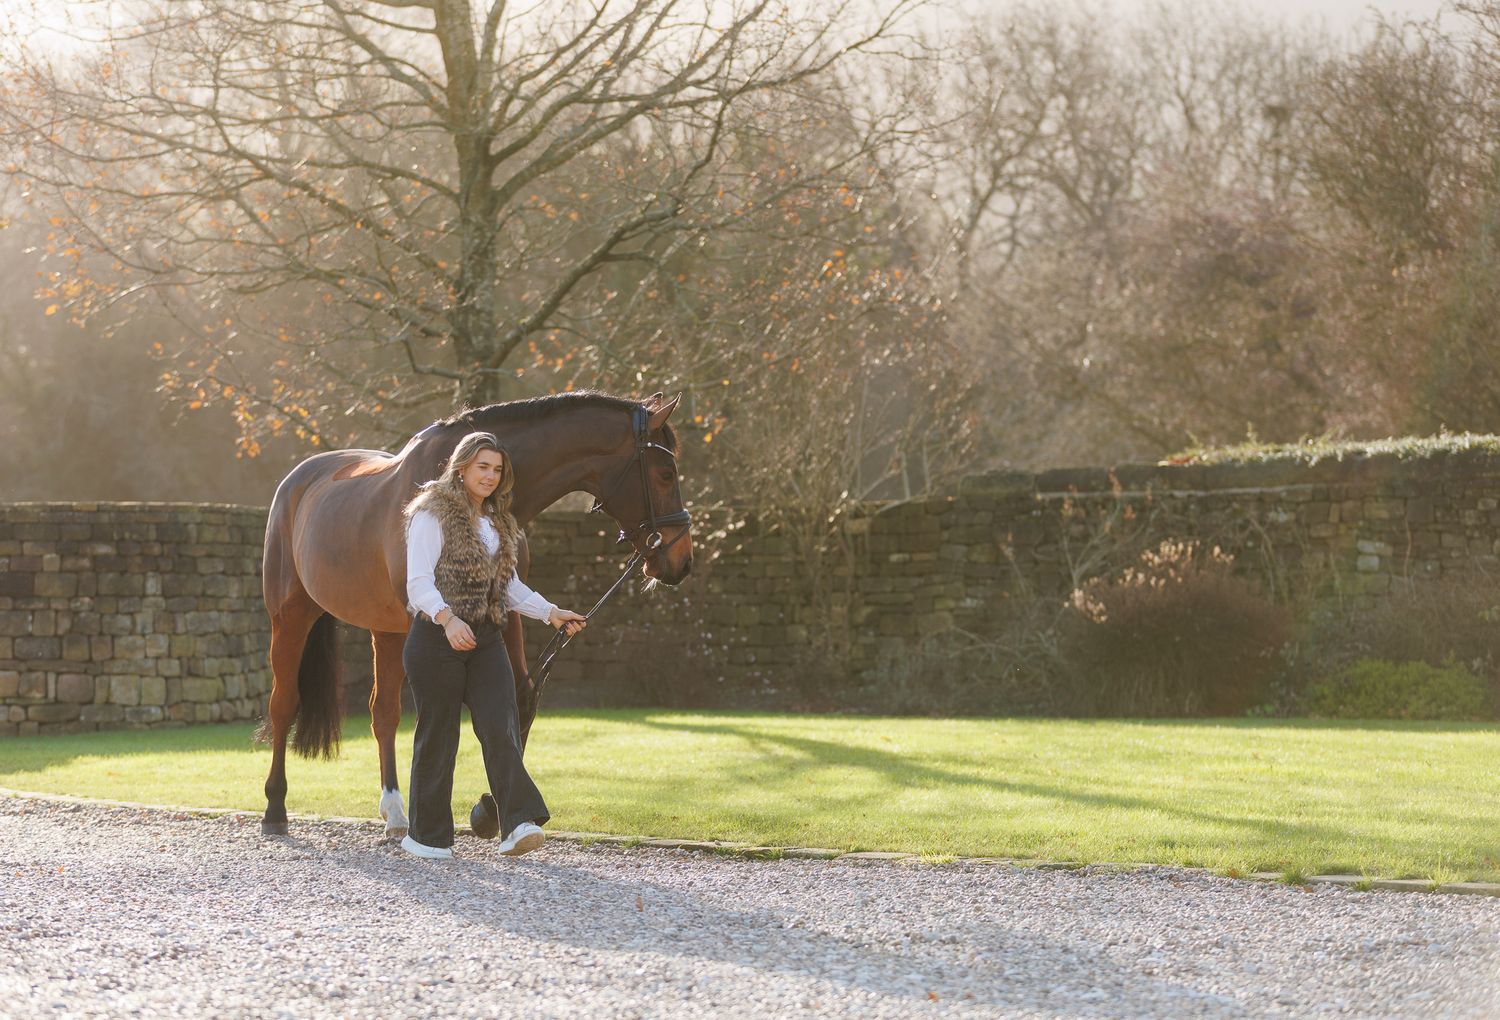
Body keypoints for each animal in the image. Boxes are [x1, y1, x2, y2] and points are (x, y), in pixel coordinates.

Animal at [256, 390, 692, 837]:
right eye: (665, 473)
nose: (681, 560)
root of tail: (297, 481)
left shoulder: (505, 607)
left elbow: (519, 696)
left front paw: (490, 810)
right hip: (290, 616)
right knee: (283, 703)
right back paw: (275, 809)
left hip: (386, 629)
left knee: (383, 713)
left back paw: (394, 813)